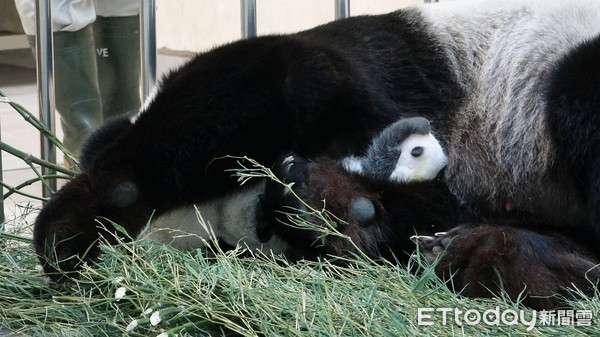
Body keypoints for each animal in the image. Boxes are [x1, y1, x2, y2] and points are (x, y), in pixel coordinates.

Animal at [34, 0, 600, 308]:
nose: (259, 222)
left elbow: (260, 79)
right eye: (224, 248)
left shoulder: (354, 77)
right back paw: (500, 259)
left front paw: (70, 229)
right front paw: (346, 213)